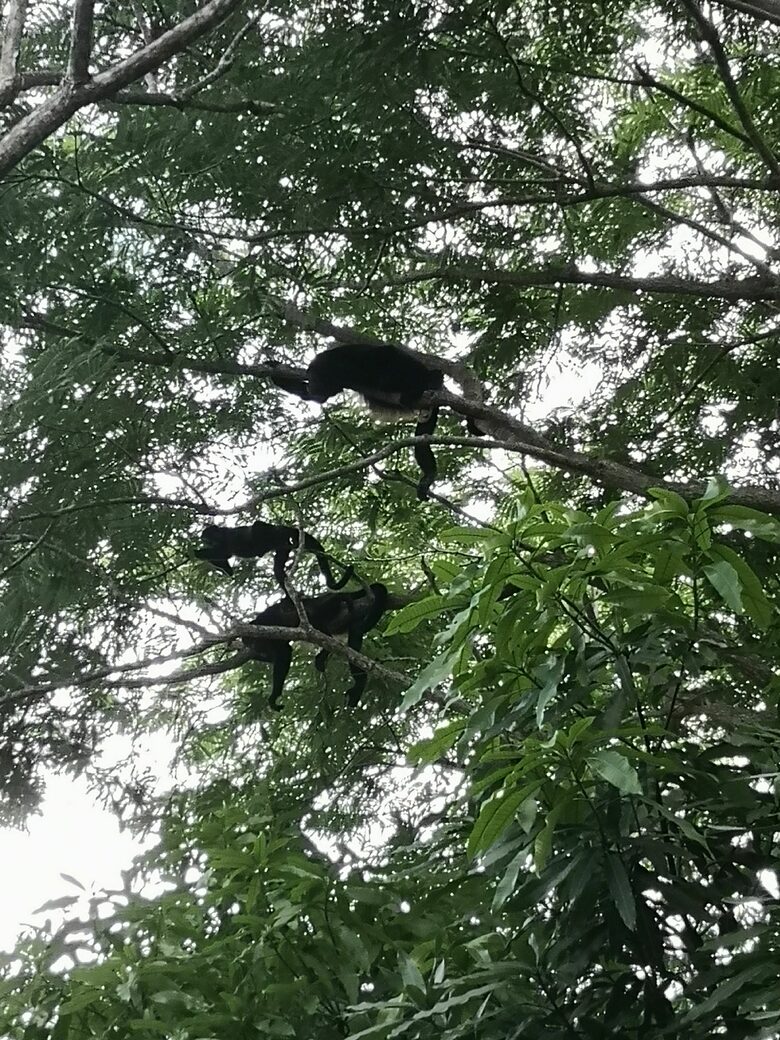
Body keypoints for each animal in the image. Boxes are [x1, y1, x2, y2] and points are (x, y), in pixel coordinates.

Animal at [194, 521, 353, 589]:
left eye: (208, 537)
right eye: (205, 540)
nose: (206, 542)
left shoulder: (225, 538)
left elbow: (224, 553)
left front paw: (195, 552)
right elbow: (223, 558)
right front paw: (228, 571)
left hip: (274, 533)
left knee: (258, 525)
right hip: (282, 548)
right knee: (277, 568)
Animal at [242, 582, 390, 709]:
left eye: (254, 640)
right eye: (250, 643)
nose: (255, 647)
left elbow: (284, 653)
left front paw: (274, 696)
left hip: (325, 608)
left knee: (318, 623)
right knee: (355, 633)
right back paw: (359, 683)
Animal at [270, 342, 483, 500]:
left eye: (313, 376)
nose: (311, 385)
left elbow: (383, 353)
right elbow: (317, 397)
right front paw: (274, 370)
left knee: (390, 361)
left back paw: (418, 386)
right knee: (421, 441)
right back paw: (429, 474)